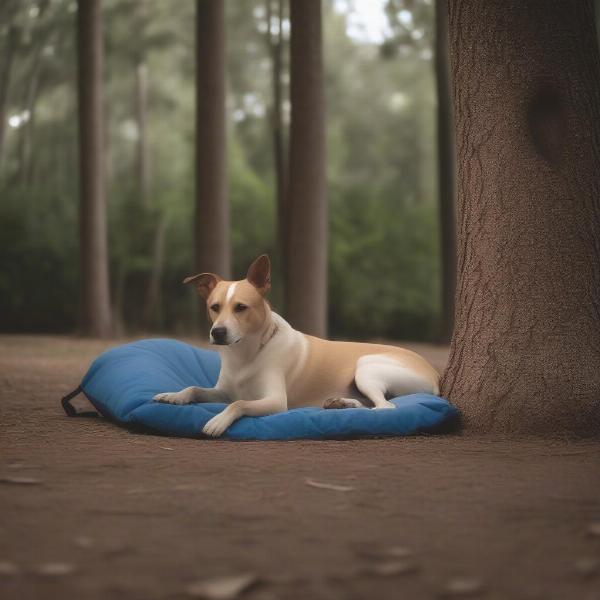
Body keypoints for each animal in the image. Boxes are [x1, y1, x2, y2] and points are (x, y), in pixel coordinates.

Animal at [152, 253, 438, 436]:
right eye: (214, 307)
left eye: (241, 308)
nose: (218, 333)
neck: (247, 353)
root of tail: (434, 372)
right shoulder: (222, 391)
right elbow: (196, 388)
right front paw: (175, 395)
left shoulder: (276, 401)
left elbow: (239, 404)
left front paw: (218, 420)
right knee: (373, 404)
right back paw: (341, 403)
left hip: (366, 366)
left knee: (385, 409)